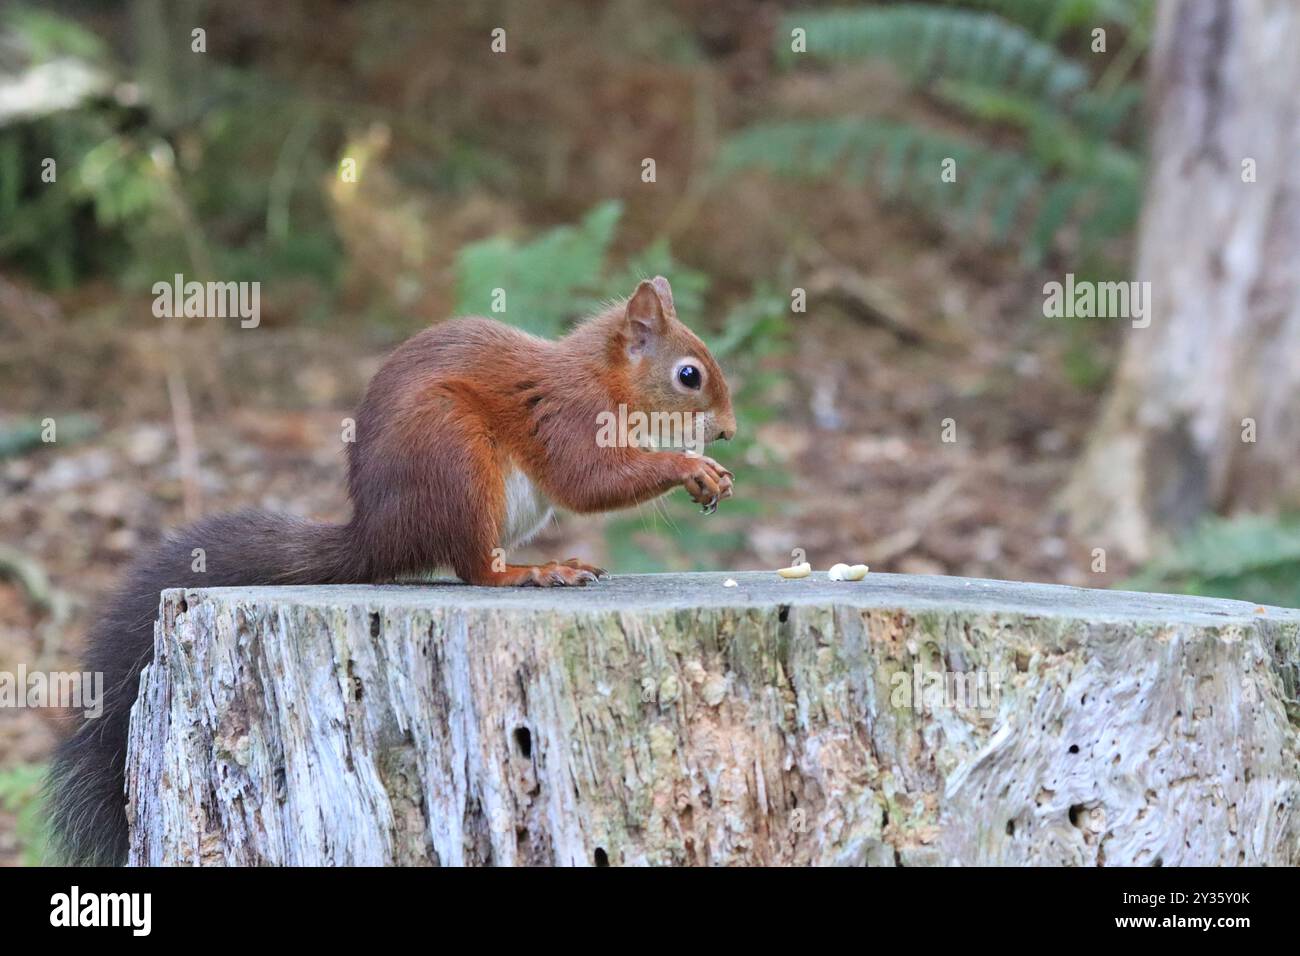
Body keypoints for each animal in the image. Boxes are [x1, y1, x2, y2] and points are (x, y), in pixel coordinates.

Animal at [48, 273, 733, 863]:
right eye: (689, 375)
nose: (727, 431)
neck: (604, 377)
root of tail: (376, 535)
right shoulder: (568, 415)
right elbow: (589, 480)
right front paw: (689, 467)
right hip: (456, 457)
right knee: (473, 568)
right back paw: (533, 573)